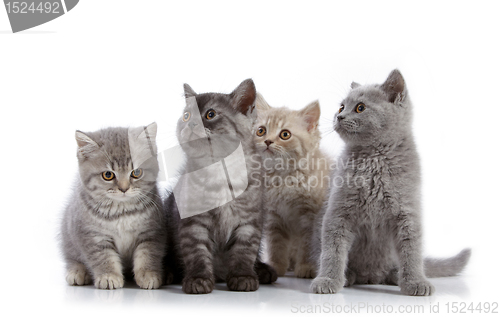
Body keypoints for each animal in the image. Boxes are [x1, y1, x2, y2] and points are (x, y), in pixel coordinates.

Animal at [61, 123, 167, 288]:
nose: (124, 188)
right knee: (72, 258)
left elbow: (147, 254)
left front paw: (149, 275)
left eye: (136, 172)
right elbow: (103, 257)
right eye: (108, 175)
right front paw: (108, 276)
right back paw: (77, 272)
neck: (122, 212)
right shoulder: (93, 236)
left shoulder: (151, 232)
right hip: (68, 236)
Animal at [167, 79, 278, 294]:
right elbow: (197, 252)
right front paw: (198, 279)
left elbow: (244, 251)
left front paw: (243, 276)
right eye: (186, 115)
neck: (219, 167)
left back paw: (263, 270)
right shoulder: (193, 222)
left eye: (210, 114)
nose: (190, 123)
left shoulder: (249, 221)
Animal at [254, 94, 332, 276]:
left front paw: (307, 267)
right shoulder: (273, 216)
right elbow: (276, 245)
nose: (267, 141)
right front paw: (276, 266)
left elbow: (307, 244)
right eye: (261, 131)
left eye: (285, 134)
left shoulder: (310, 216)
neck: (283, 178)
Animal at [310, 70, 470, 296]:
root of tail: (371, 276)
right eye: (341, 107)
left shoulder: (408, 213)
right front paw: (328, 280)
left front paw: (416, 282)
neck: (374, 160)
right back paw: (349, 276)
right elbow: (332, 250)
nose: (339, 116)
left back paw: (396, 276)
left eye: (360, 107)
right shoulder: (338, 211)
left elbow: (411, 251)